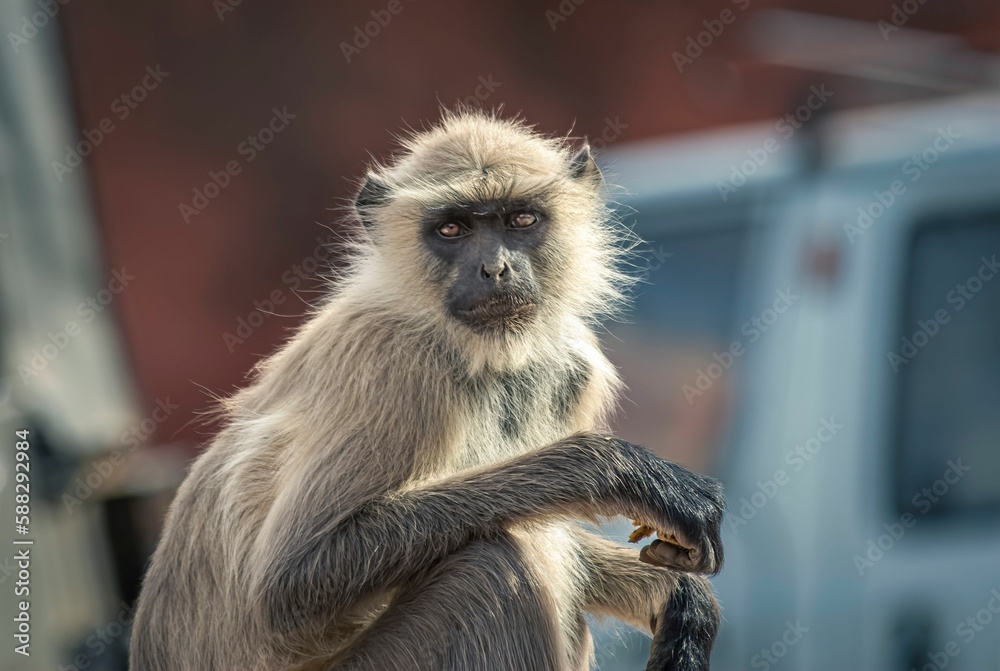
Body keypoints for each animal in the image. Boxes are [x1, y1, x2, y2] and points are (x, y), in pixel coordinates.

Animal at [131, 110, 728, 671]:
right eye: (452, 230)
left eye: (521, 219)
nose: (494, 268)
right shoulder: (393, 360)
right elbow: (288, 587)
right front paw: (620, 473)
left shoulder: (571, 368)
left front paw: (679, 597)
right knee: (493, 564)